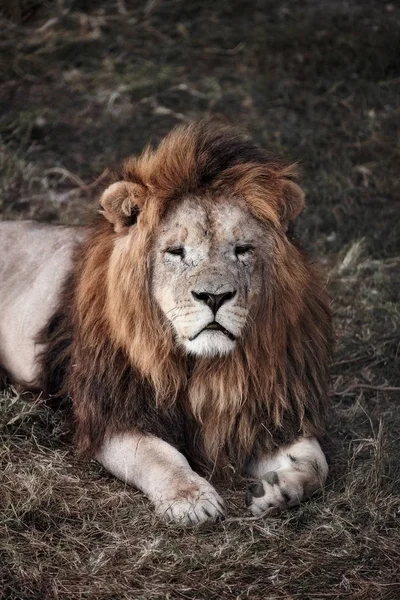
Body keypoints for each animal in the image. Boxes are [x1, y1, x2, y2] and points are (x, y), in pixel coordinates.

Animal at [0, 122, 332, 524]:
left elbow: (316, 464)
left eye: (242, 250)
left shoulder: (263, 411)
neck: (201, 365)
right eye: (176, 251)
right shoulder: (111, 413)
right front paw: (192, 499)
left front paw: (274, 490)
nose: (214, 297)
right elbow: (158, 457)